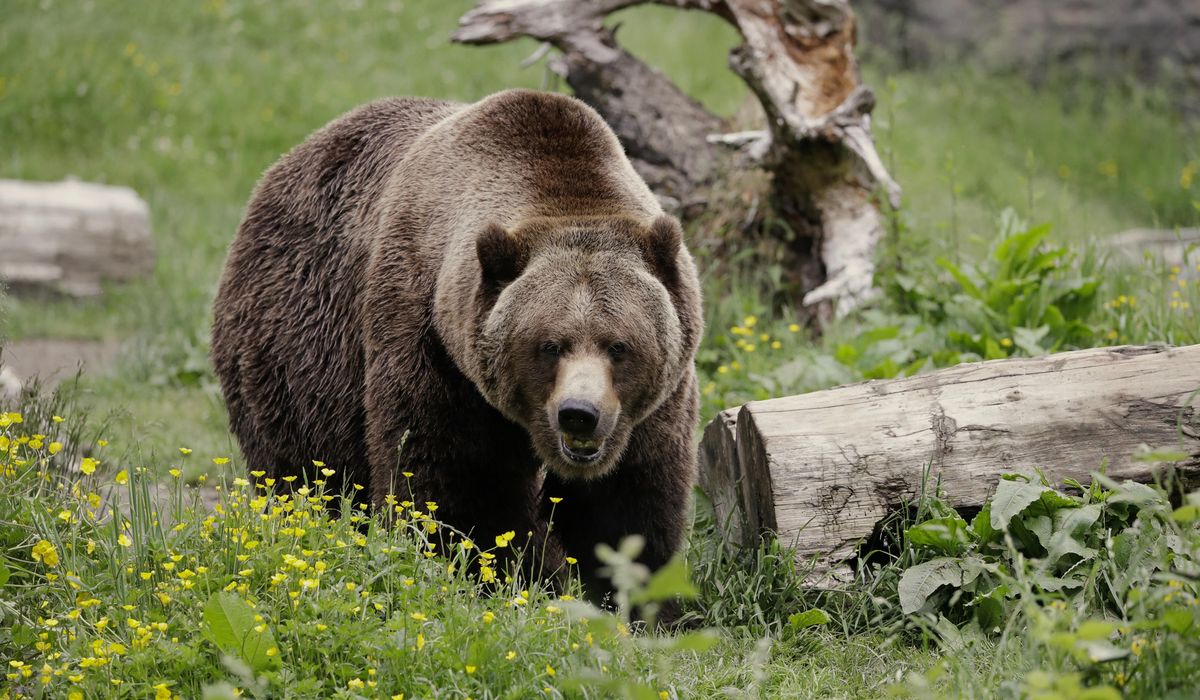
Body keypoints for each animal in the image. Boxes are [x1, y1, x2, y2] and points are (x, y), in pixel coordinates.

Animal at [213, 87, 700, 590]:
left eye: (619, 346)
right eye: (549, 345)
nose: (579, 414)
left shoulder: (655, 404)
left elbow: (627, 505)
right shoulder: (431, 343)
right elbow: (455, 484)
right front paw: (500, 571)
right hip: (299, 348)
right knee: (306, 467)